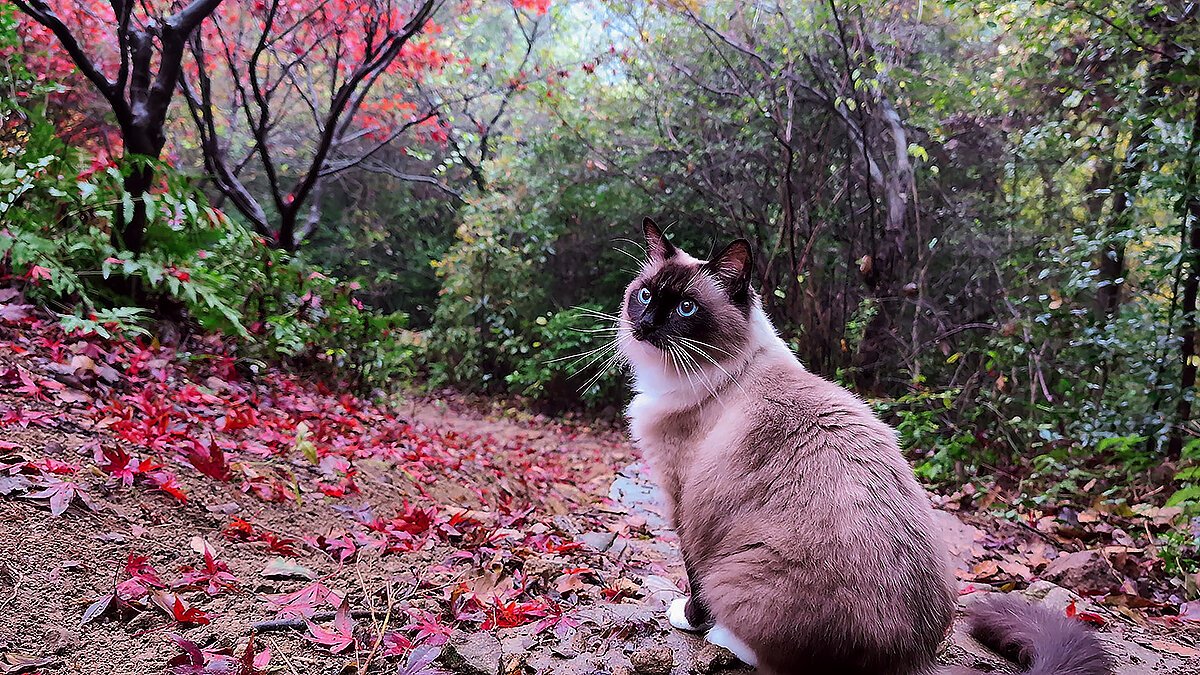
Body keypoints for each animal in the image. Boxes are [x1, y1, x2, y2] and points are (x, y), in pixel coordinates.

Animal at [619, 216, 1113, 672]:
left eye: (686, 307)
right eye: (645, 296)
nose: (646, 324)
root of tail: (911, 659)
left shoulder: (683, 503)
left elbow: (693, 579)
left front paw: (687, 618)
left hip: (738, 573)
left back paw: (721, 635)